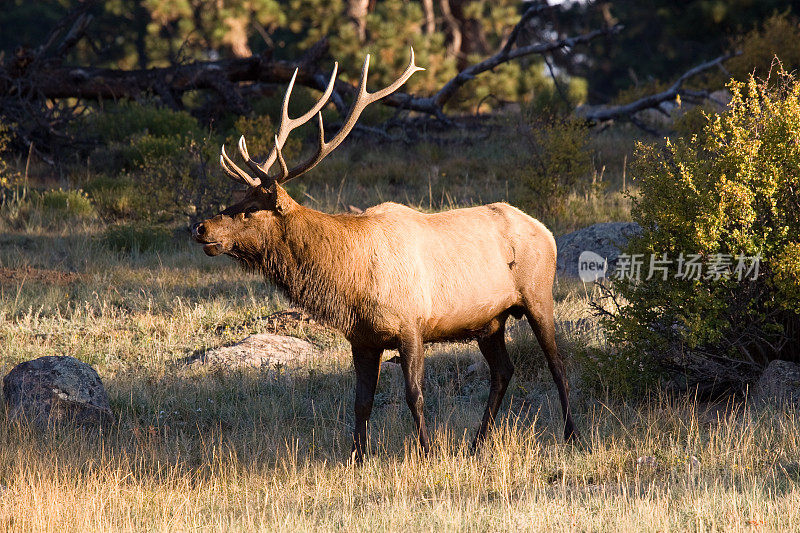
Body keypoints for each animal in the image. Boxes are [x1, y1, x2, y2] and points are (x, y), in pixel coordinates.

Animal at [195, 50, 580, 462]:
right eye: (236, 199)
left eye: (251, 209)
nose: (200, 228)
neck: (350, 283)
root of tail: (546, 230)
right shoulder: (362, 339)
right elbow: (361, 402)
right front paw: (357, 457)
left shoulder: (411, 325)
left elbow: (415, 395)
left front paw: (428, 451)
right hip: (490, 320)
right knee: (503, 371)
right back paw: (477, 443)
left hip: (539, 295)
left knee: (558, 364)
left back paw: (571, 435)